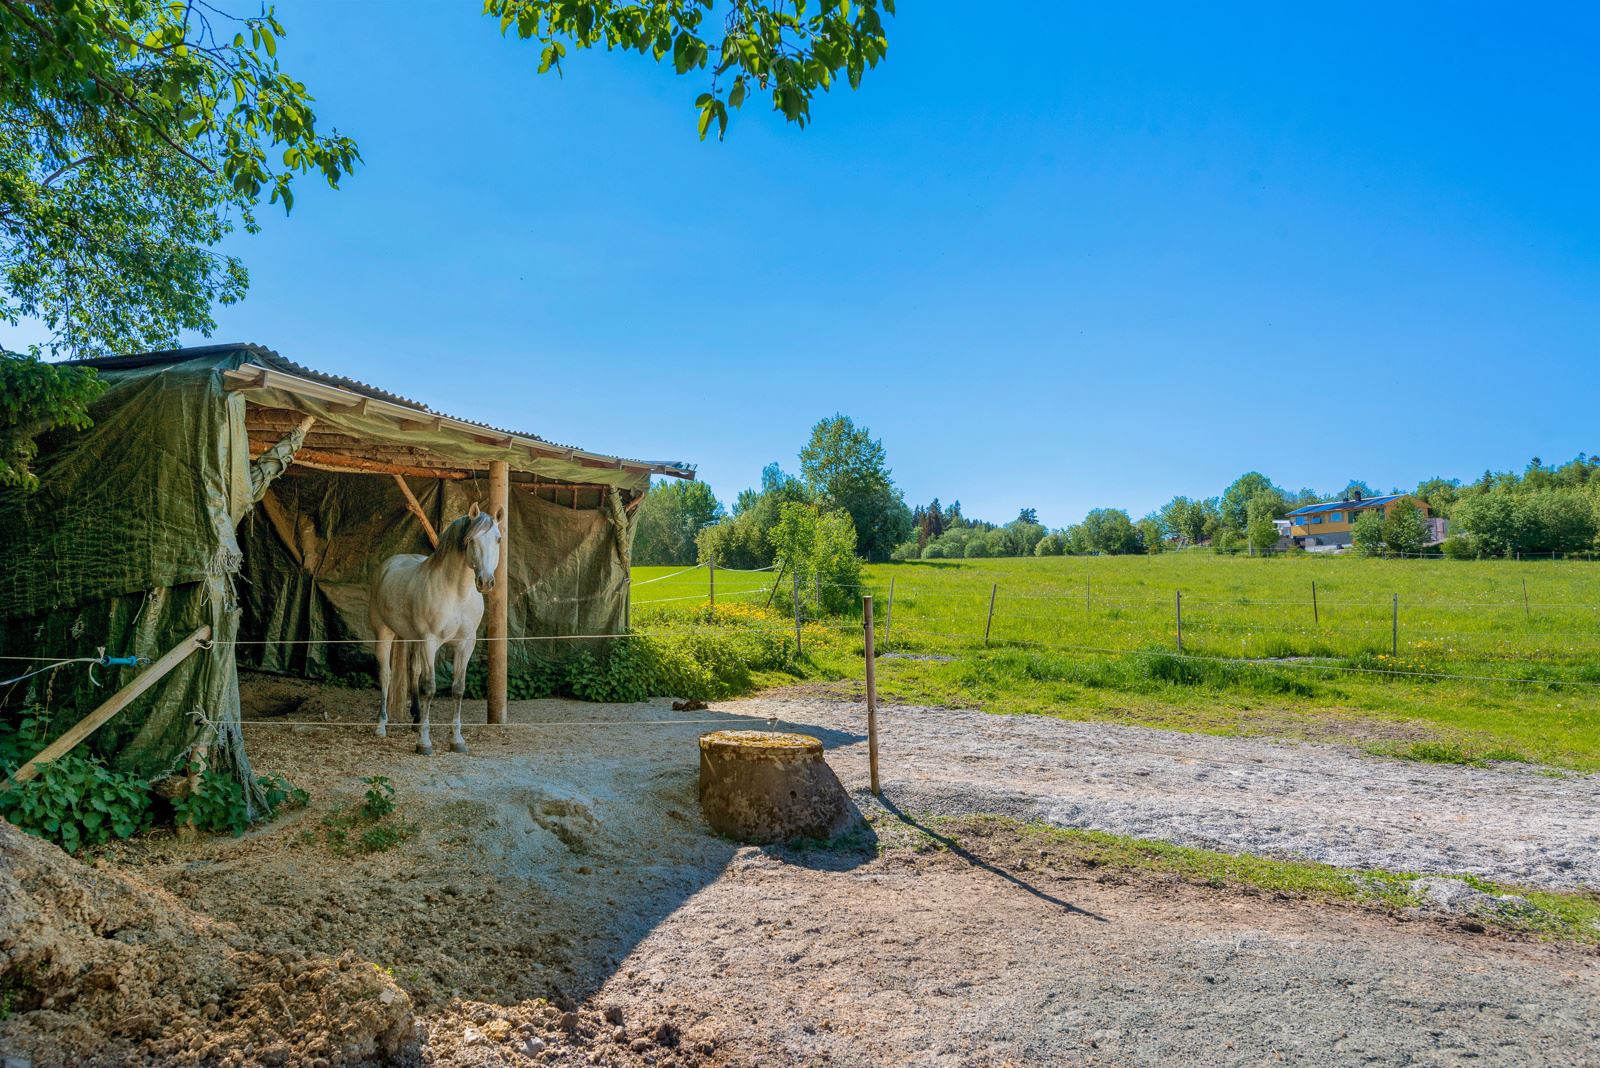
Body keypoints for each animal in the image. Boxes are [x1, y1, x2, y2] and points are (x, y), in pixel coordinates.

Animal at [371, 505, 502, 754]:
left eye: (499, 539)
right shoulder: (430, 642)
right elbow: (429, 687)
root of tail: (389, 564)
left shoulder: (465, 645)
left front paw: (457, 740)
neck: (457, 593)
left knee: (413, 672)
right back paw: (381, 725)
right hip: (384, 633)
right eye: (470, 540)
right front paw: (424, 742)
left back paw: (416, 719)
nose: (486, 582)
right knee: (386, 675)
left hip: (411, 639)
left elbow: (458, 688)